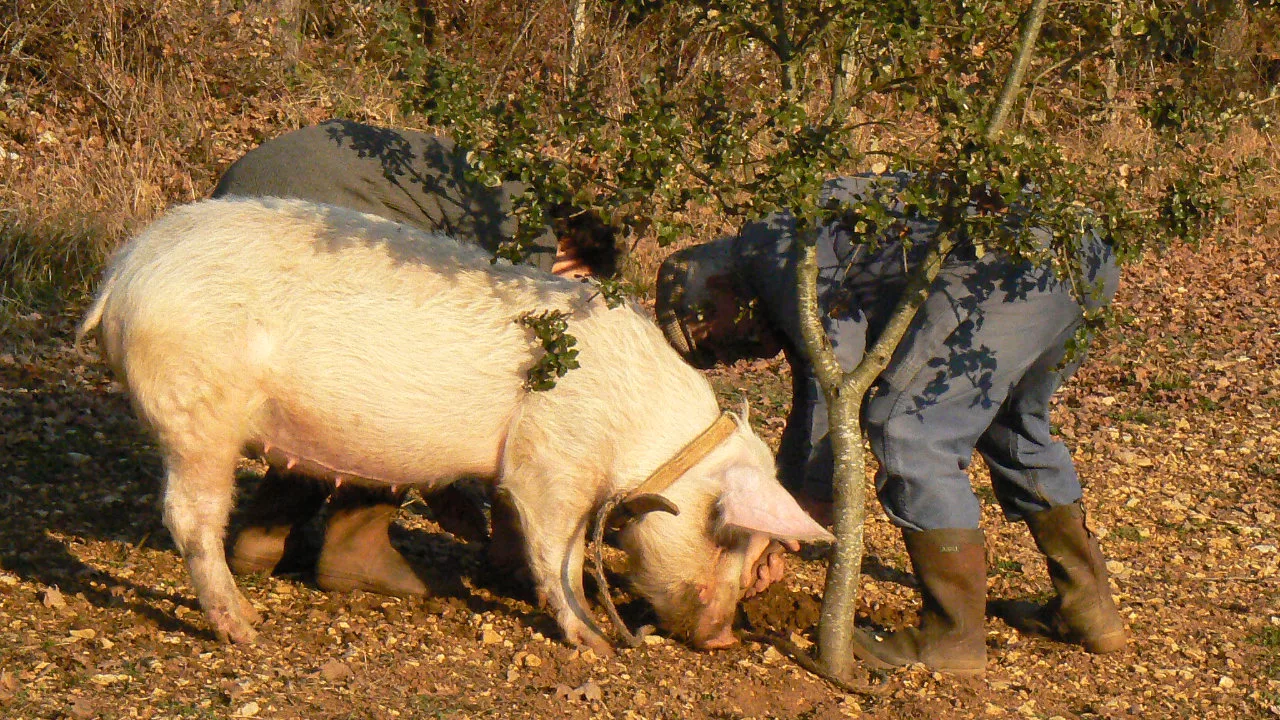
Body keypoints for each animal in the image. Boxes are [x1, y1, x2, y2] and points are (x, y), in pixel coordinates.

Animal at [78, 197, 833, 652]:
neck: (642, 434)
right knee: (189, 516)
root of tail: (124, 269)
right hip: (196, 410)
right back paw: (247, 630)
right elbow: (556, 549)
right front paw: (593, 641)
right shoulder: (552, 459)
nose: (724, 637)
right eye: (724, 531)